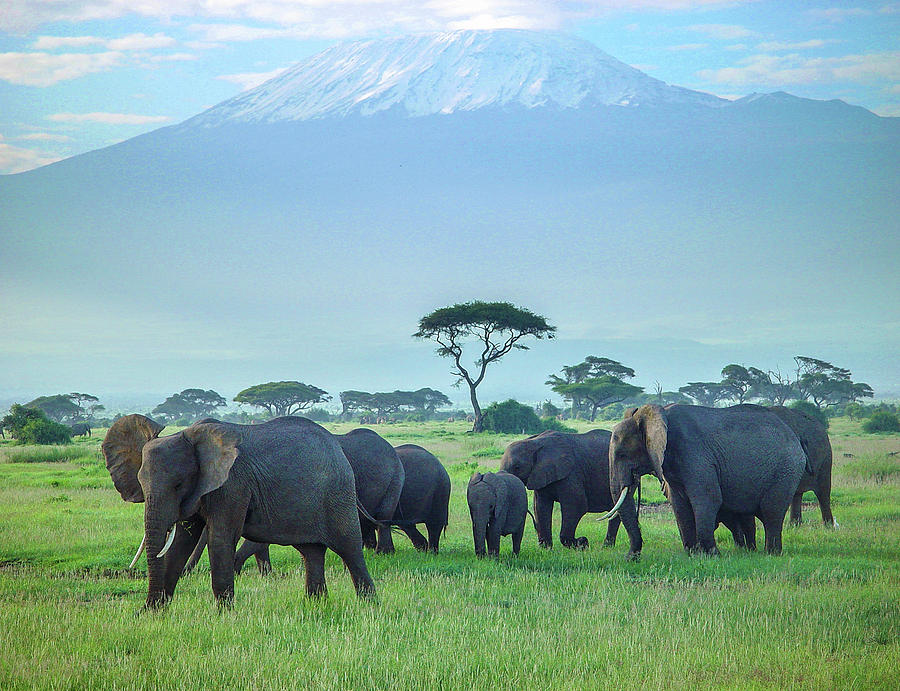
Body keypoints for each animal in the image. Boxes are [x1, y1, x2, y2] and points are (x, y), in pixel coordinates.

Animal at [102, 414, 376, 608]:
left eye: (178, 484)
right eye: (140, 483)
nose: (147, 606)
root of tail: (338, 447)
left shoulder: (232, 485)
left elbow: (220, 538)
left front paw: (224, 615)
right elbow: (181, 542)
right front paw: (152, 614)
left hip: (338, 494)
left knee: (349, 547)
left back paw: (369, 606)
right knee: (311, 552)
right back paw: (315, 605)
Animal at [500, 430, 640, 560]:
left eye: (517, 467)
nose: (584, 541)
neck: (534, 442)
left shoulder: (571, 473)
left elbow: (576, 506)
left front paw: (582, 544)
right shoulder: (540, 474)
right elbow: (540, 507)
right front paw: (547, 550)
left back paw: (605, 547)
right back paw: (606, 547)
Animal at [608, 406, 804, 556]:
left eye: (622, 454)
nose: (631, 558)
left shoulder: (695, 455)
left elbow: (707, 500)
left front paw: (711, 555)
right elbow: (680, 505)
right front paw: (692, 554)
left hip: (786, 471)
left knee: (772, 513)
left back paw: (771, 553)